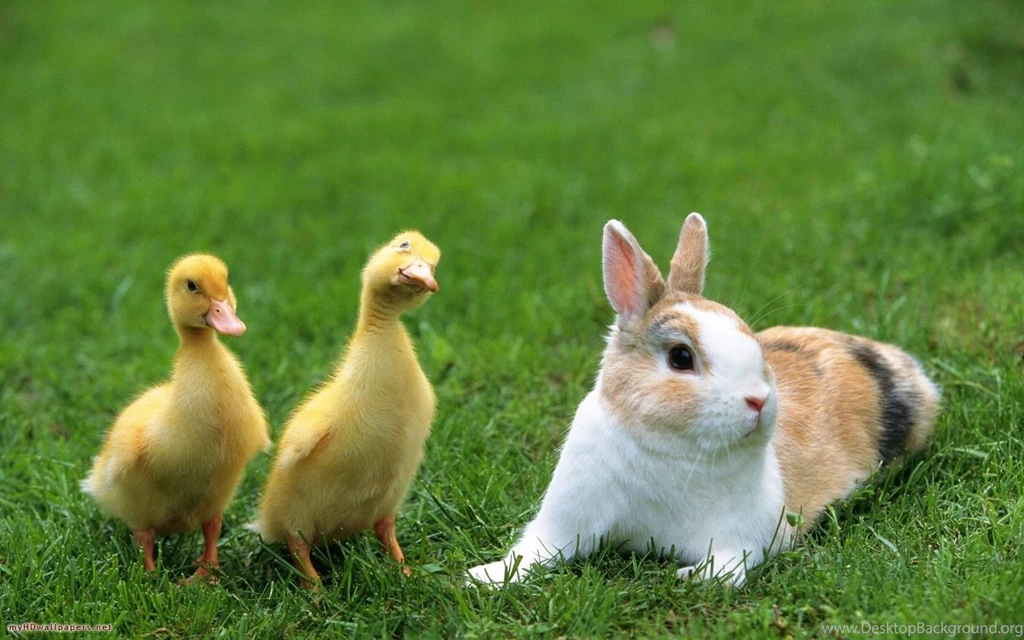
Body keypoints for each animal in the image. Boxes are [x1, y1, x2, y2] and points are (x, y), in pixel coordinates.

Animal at [468, 213, 940, 587]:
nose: (759, 401)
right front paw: (482, 577)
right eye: (681, 356)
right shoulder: (566, 519)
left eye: (750, 337)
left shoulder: (744, 535)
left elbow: (729, 565)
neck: (668, 449)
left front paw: (691, 577)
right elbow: (535, 550)